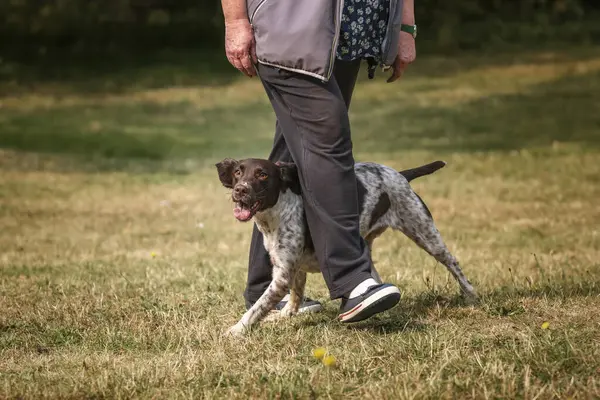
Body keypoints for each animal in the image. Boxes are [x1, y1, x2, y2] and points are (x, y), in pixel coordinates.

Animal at [216, 158, 478, 336]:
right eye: (238, 172)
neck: (277, 213)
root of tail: (400, 174)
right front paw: (283, 315)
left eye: (262, 174)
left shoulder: (281, 277)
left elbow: (257, 307)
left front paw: (237, 330)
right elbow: (294, 299)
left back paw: (472, 296)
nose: (240, 189)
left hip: (425, 233)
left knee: (454, 264)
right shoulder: (292, 269)